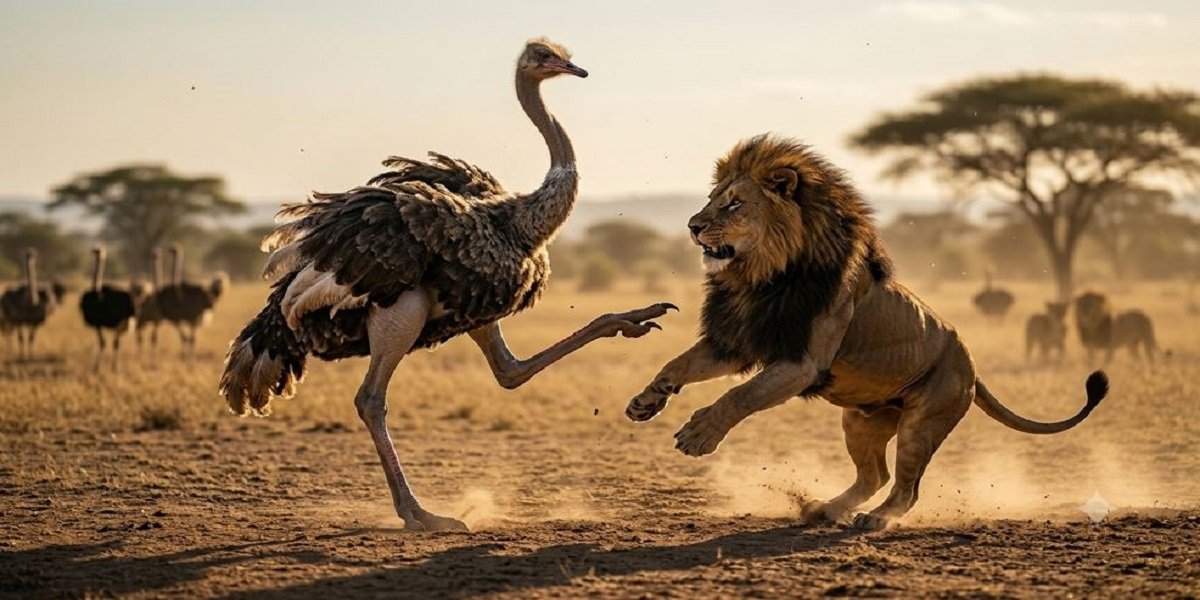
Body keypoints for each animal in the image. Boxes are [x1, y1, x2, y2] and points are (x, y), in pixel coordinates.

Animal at [625, 134, 1108, 531]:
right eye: (712, 199)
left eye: (733, 204)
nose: (693, 226)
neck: (762, 277)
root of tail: (971, 365)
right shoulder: (740, 339)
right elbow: (679, 364)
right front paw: (647, 400)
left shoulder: (801, 363)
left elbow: (739, 396)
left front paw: (699, 434)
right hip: (862, 419)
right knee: (875, 475)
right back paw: (825, 509)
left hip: (922, 424)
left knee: (906, 487)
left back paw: (873, 520)